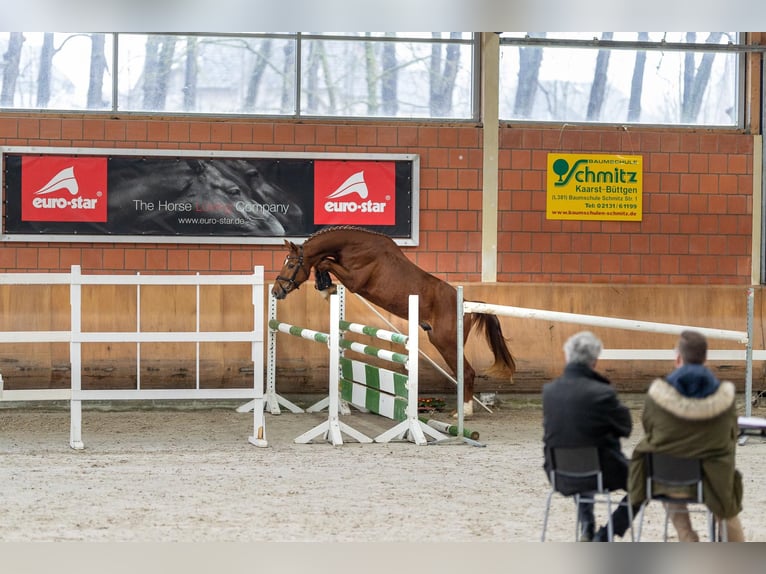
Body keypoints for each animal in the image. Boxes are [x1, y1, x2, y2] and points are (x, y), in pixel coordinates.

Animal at [272, 225, 520, 414]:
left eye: (291, 265)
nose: (276, 291)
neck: (354, 247)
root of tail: (466, 303)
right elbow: (324, 261)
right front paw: (325, 286)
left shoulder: (355, 281)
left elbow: (324, 261)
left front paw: (326, 287)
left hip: (446, 343)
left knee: (467, 372)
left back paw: (464, 412)